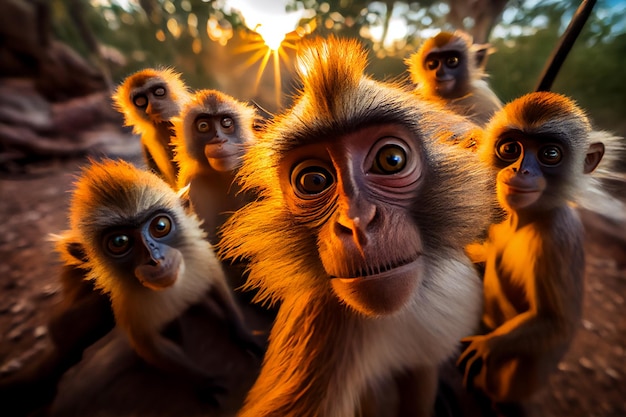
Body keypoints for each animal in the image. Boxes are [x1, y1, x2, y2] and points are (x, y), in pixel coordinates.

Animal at [59, 158, 260, 400]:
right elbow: (151, 346)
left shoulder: (200, 259)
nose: (155, 260)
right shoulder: (130, 308)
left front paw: (243, 333)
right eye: (119, 241)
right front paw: (204, 380)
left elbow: (217, 284)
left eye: (160, 226)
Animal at [456, 90, 608, 412]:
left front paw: (485, 346)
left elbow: (557, 322)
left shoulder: (559, 236)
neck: (526, 220)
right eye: (510, 148)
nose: (520, 170)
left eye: (550, 154)